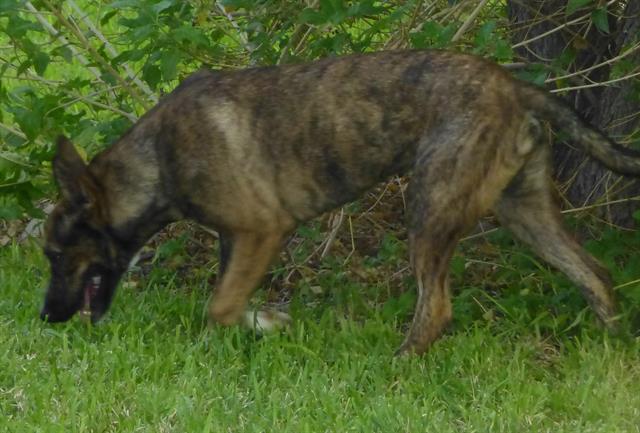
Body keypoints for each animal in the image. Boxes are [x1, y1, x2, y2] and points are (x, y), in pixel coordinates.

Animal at [41, 49, 640, 354]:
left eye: (54, 254)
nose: (46, 317)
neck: (157, 161)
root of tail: (515, 86)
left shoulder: (261, 231)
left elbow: (220, 308)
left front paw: (259, 327)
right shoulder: (236, 242)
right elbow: (224, 304)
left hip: (431, 207)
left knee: (436, 307)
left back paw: (399, 367)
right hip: (522, 211)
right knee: (595, 274)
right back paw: (613, 350)